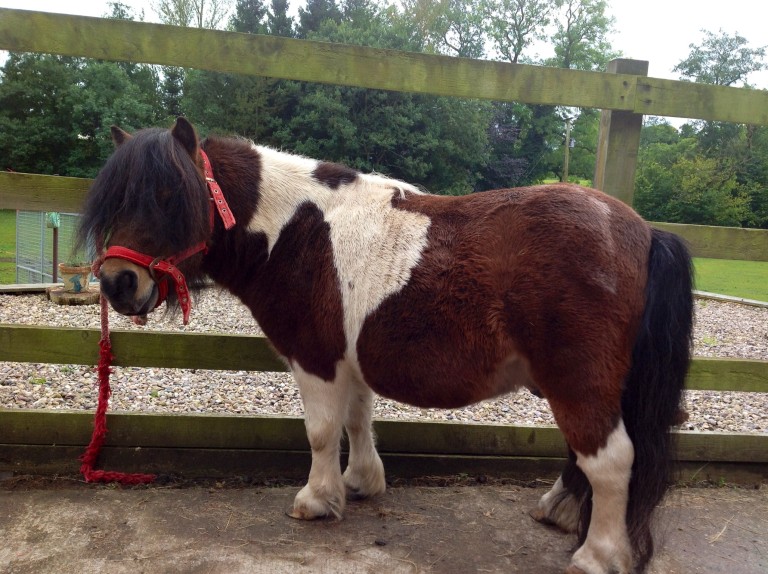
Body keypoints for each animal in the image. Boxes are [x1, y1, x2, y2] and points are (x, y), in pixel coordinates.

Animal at [78, 117, 693, 574]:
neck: (297, 232)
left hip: (577, 379)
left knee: (610, 459)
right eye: (118, 200)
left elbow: (322, 431)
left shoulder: (316, 360)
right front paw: (359, 483)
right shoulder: (348, 362)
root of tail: (641, 230)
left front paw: (318, 499)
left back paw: (597, 555)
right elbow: (357, 420)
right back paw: (562, 512)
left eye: (169, 195)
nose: (117, 284)